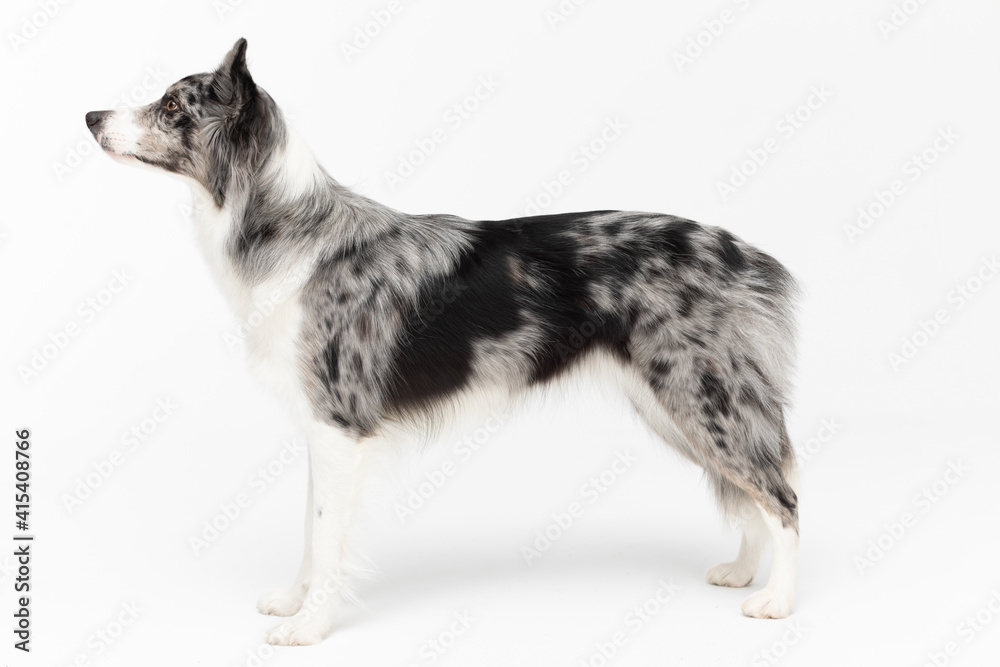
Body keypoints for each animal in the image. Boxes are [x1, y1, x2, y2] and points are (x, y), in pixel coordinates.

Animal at [88, 39, 804, 644]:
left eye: (172, 106)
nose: (91, 115)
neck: (285, 227)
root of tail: (741, 252)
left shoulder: (339, 423)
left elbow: (326, 538)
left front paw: (309, 628)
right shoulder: (322, 429)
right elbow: (310, 531)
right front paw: (295, 602)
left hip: (699, 395)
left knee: (781, 495)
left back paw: (778, 601)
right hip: (679, 406)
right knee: (749, 492)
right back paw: (743, 571)